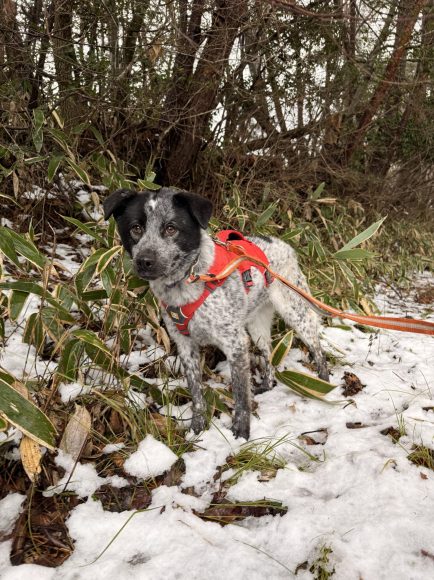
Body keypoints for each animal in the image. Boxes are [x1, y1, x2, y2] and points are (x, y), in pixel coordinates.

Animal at [103, 187, 328, 439]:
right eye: (136, 228)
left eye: (171, 228)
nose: (145, 261)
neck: (187, 281)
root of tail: (283, 243)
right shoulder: (186, 346)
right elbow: (197, 395)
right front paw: (197, 430)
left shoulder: (235, 344)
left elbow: (241, 397)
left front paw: (241, 434)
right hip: (256, 324)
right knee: (268, 351)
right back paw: (267, 384)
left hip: (294, 312)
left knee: (317, 348)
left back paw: (323, 385)